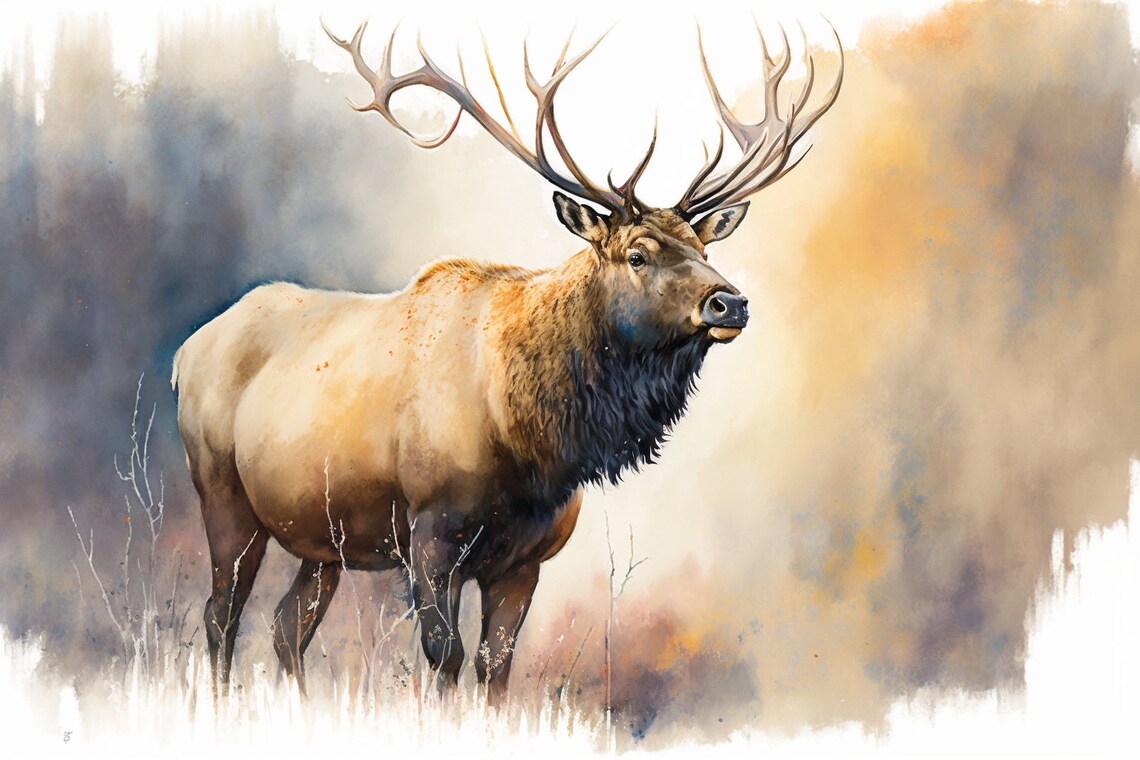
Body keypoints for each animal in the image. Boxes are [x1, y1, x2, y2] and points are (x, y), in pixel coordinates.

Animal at [171, 19, 842, 704]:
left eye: (704, 248)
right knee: (221, 615)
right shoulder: (431, 535)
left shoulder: (525, 560)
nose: (730, 302)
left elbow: (496, 668)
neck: (529, 442)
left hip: (323, 535)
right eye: (637, 254)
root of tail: (184, 350)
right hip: (224, 495)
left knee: (286, 625)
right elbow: (445, 658)